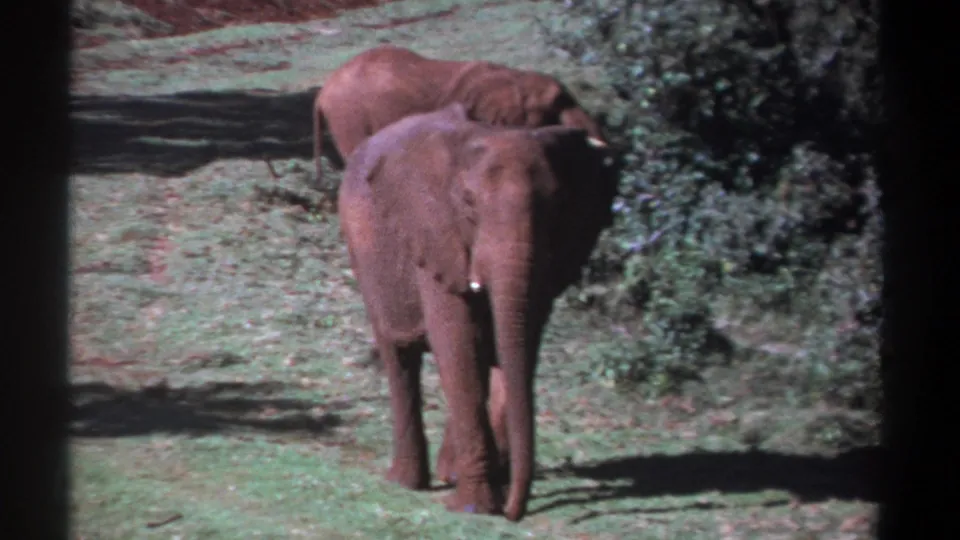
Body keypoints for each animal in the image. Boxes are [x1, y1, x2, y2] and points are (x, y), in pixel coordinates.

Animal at [337, 102, 618, 521]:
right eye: (468, 203)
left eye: (558, 205)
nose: (515, 512)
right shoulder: (435, 236)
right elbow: (459, 343)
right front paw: (474, 508)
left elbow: (511, 343)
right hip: (363, 250)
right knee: (398, 353)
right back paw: (406, 482)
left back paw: (447, 474)